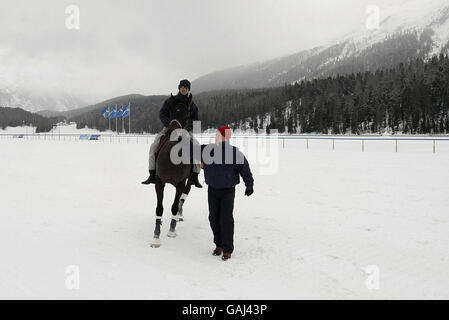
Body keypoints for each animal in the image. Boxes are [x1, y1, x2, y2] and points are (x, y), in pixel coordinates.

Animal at [150, 100, 194, 248]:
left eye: (187, 114)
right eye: (170, 111)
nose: (173, 132)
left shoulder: (180, 183)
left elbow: (174, 206)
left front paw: (171, 230)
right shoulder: (159, 182)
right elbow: (159, 208)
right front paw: (156, 238)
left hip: (189, 181)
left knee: (183, 197)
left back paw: (179, 216)